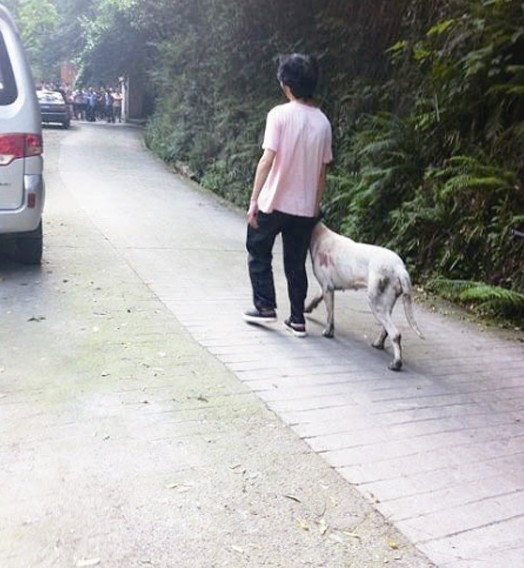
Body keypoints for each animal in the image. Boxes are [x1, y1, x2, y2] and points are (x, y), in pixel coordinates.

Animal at [304, 222, 424, 372]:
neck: (318, 235)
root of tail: (400, 269)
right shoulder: (326, 288)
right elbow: (316, 300)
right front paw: (307, 309)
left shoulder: (327, 288)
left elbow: (329, 315)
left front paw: (328, 332)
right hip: (385, 305)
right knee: (386, 329)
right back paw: (378, 344)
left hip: (375, 304)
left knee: (395, 334)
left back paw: (396, 363)